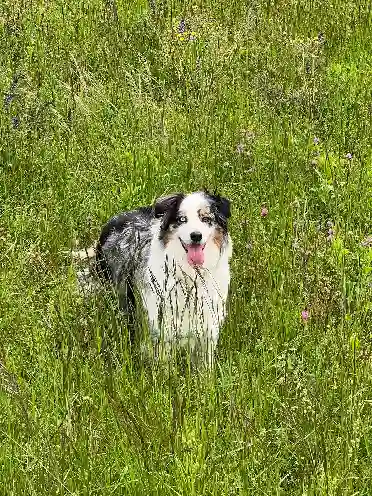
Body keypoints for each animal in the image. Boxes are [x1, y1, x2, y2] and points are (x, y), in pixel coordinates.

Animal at [93, 192, 232, 366]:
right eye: (182, 219)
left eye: (206, 218)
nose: (196, 236)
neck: (190, 275)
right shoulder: (162, 327)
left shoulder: (208, 326)